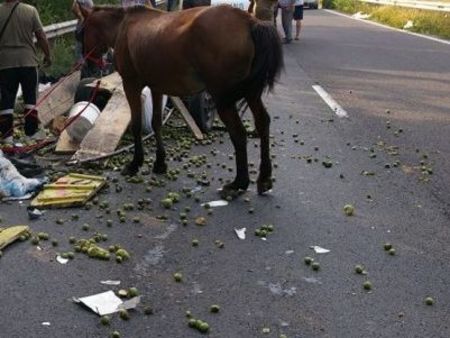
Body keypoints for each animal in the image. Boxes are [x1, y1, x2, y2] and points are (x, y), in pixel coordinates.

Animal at [81, 3, 284, 197]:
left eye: (81, 33)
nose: (89, 64)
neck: (125, 26)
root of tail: (249, 21)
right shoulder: (156, 88)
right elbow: (156, 123)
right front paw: (160, 162)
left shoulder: (131, 84)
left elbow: (137, 125)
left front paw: (135, 163)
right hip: (251, 94)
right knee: (263, 123)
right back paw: (264, 178)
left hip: (223, 99)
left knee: (239, 134)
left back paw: (238, 183)